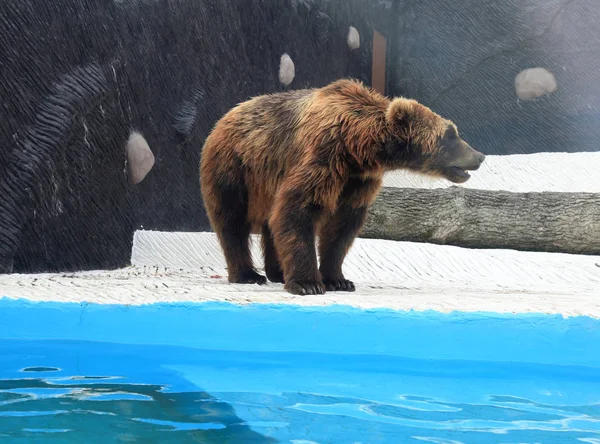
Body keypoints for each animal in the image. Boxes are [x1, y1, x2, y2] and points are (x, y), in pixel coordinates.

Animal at [199, 79, 486, 294]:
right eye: (450, 134)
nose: (480, 155)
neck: (357, 147)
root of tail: (223, 118)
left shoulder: (357, 181)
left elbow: (342, 228)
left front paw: (338, 279)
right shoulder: (323, 157)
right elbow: (298, 208)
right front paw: (308, 284)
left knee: (271, 220)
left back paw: (278, 272)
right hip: (234, 168)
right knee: (232, 220)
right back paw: (247, 274)